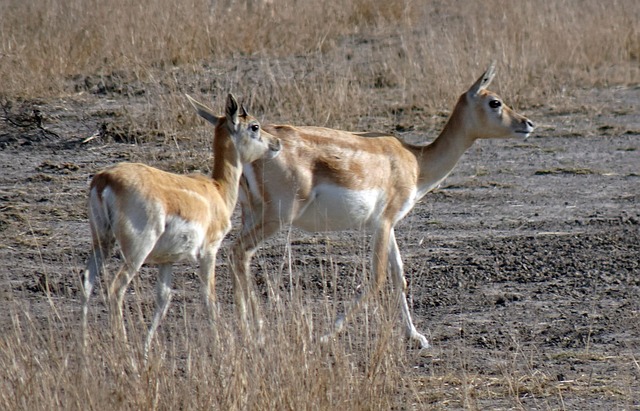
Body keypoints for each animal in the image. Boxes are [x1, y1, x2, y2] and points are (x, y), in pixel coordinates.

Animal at [80, 92, 280, 358]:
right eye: (255, 126)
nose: (277, 142)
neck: (216, 190)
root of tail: (104, 179)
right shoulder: (209, 251)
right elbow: (208, 296)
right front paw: (220, 345)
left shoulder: (167, 260)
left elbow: (163, 300)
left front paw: (147, 348)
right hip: (137, 251)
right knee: (116, 288)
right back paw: (123, 348)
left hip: (101, 242)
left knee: (87, 282)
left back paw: (82, 346)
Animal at [230, 62, 536, 350]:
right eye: (495, 101)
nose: (528, 124)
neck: (415, 161)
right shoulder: (383, 222)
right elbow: (377, 278)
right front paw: (326, 334)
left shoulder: (389, 225)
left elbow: (399, 276)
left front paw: (416, 336)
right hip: (276, 217)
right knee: (241, 251)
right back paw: (256, 333)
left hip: (252, 214)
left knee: (234, 253)